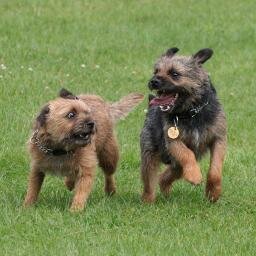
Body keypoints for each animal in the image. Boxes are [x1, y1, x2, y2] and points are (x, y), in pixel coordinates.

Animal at [141, 48, 227, 202]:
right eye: (156, 71)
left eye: (175, 73)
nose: (153, 81)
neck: (191, 112)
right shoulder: (173, 141)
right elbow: (187, 154)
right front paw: (194, 175)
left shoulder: (219, 139)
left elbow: (215, 168)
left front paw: (213, 192)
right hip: (150, 154)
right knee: (150, 182)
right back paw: (147, 201)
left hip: (176, 164)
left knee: (165, 176)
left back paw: (165, 189)